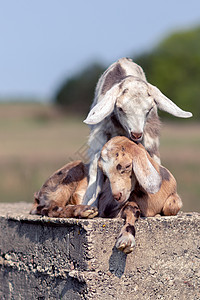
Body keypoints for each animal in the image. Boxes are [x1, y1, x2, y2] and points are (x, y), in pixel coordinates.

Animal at [82, 56, 191, 206]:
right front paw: (90, 203)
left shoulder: (150, 138)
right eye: (120, 108)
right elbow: (94, 167)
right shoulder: (100, 136)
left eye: (149, 109)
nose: (136, 134)